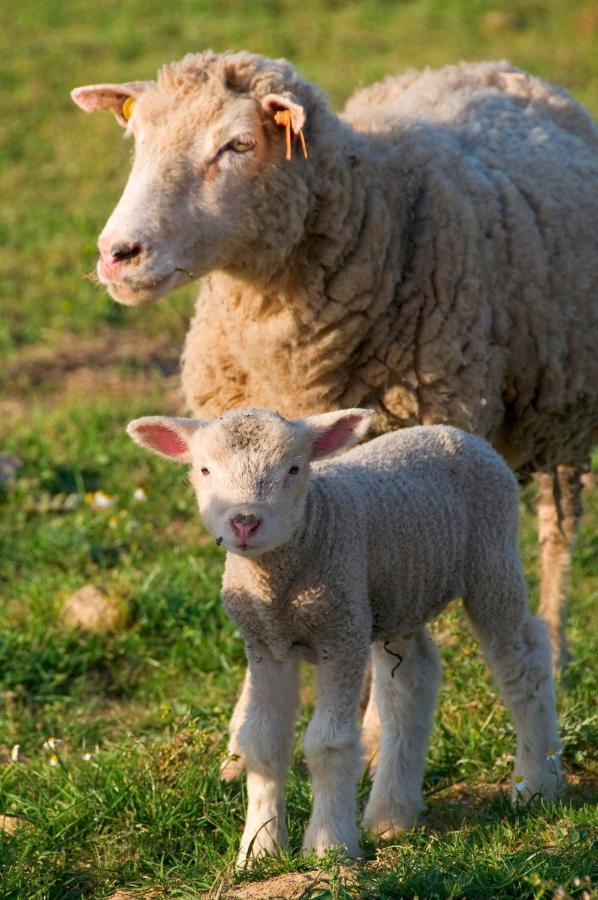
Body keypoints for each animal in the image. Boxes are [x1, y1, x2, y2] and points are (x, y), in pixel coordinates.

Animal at [71, 49, 598, 672]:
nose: (117, 254)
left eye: (239, 145)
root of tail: (494, 66)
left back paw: (558, 645)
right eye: (138, 139)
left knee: (558, 528)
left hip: (564, 409)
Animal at [125, 404, 564, 860]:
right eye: (205, 469)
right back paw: (392, 815)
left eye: (294, 468)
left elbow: (327, 744)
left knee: (522, 662)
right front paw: (258, 850)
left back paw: (536, 783)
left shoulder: (340, 636)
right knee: (412, 683)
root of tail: (457, 434)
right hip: (397, 596)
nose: (245, 522)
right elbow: (262, 743)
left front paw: (328, 847)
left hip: (491, 560)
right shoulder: (265, 644)